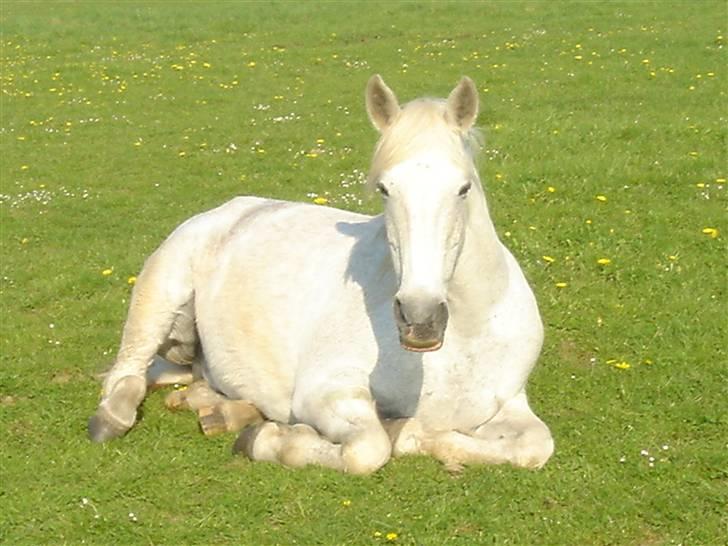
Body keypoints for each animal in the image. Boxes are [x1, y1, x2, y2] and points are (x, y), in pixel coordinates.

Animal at [89, 73, 552, 472]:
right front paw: (272, 441)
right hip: (160, 294)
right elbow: (369, 448)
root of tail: (228, 210)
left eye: (463, 188)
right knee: (128, 371)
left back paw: (222, 411)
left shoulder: (509, 402)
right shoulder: (325, 391)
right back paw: (114, 418)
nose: (420, 319)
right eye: (385, 189)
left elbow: (535, 446)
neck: (464, 340)